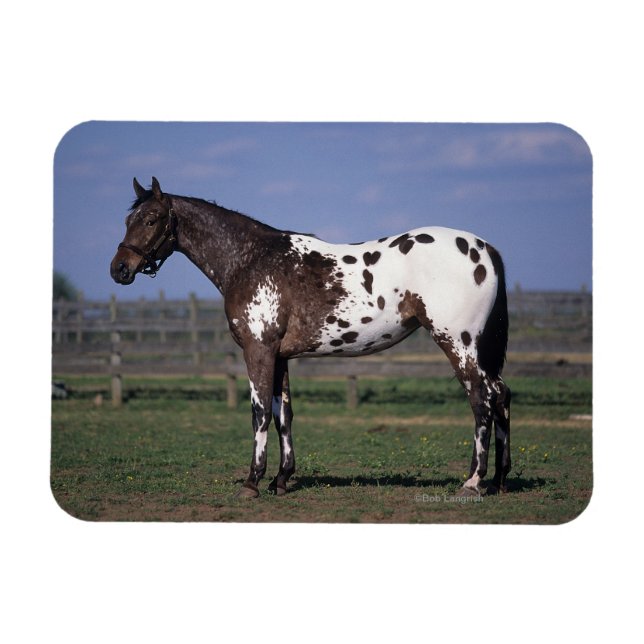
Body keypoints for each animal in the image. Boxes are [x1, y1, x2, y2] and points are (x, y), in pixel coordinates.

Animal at [110, 177, 511, 498]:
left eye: (150, 219)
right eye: (127, 220)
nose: (119, 270)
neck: (250, 259)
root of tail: (484, 248)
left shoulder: (258, 350)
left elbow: (259, 413)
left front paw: (252, 482)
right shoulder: (280, 356)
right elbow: (283, 414)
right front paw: (281, 480)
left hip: (457, 342)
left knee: (481, 400)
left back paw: (472, 482)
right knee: (501, 394)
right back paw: (499, 479)